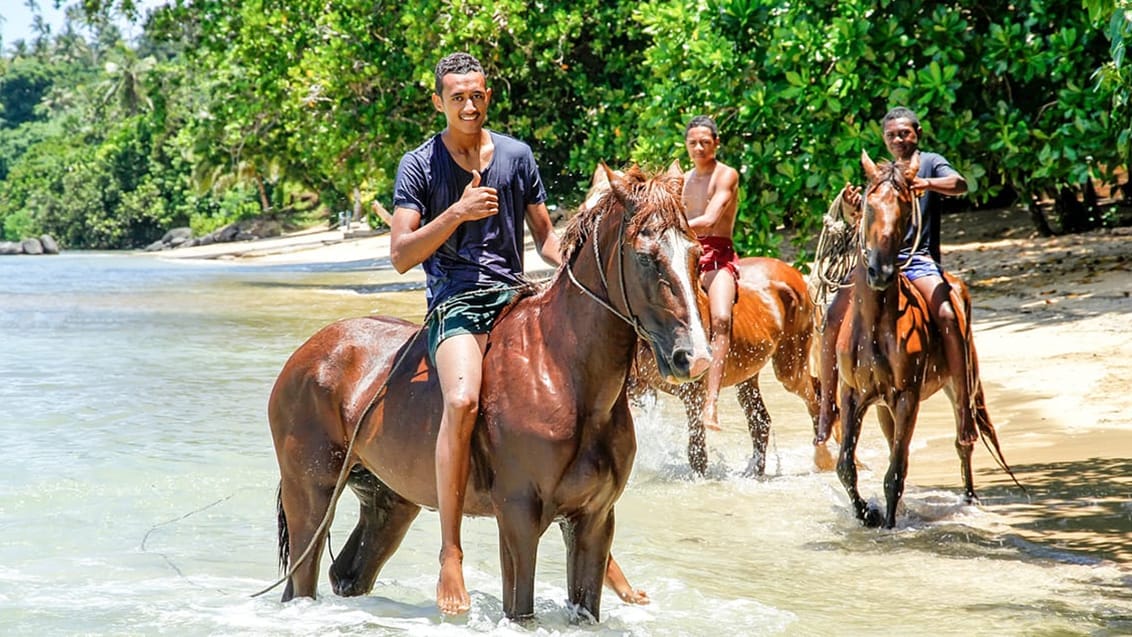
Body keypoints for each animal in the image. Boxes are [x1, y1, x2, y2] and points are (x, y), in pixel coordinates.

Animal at [264, 166, 706, 624]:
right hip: (310, 492)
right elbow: (521, 609)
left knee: (348, 573)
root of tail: (307, 354)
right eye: (645, 256)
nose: (694, 356)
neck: (564, 375)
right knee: (302, 580)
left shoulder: (595, 520)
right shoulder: (518, 516)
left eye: (697, 253)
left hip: (389, 500)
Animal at [629, 256, 824, 475]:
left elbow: (697, 453)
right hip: (748, 373)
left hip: (790, 369)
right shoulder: (639, 389)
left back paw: (823, 458)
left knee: (815, 398)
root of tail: (796, 274)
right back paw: (754, 472)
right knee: (761, 421)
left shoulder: (693, 394)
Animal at [819, 151, 1014, 531]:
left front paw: (889, 526)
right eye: (867, 206)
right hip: (883, 407)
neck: (875, 326)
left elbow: (895, 473)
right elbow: (846, 466)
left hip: (959, 384)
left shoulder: (907, 396)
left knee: (964, 438)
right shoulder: (852, 395)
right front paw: (868, 514)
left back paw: (970, 499)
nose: (880, 271)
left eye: (906, 210)